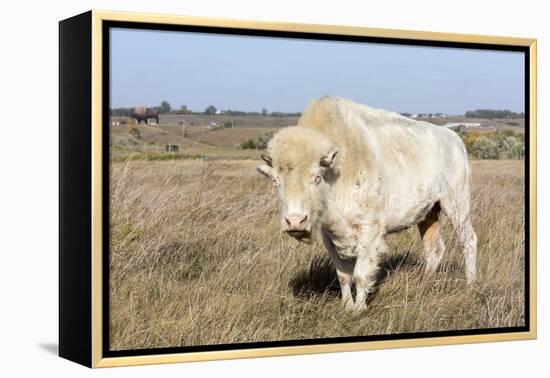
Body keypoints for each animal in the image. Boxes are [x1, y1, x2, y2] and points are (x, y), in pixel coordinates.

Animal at [258, 96, 478, 312]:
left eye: (316, 177)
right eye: (275, 181)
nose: (295, 221)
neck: (336, 171)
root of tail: (454, 139)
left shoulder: (368, 230)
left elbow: (361, 273)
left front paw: (359, 309)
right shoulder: (330, 235)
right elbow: (343, 275)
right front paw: (347, 306)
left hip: (456, 204)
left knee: (468, 240)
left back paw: (470, 286)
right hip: (429, 213)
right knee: (434, 248)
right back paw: (423, 283)